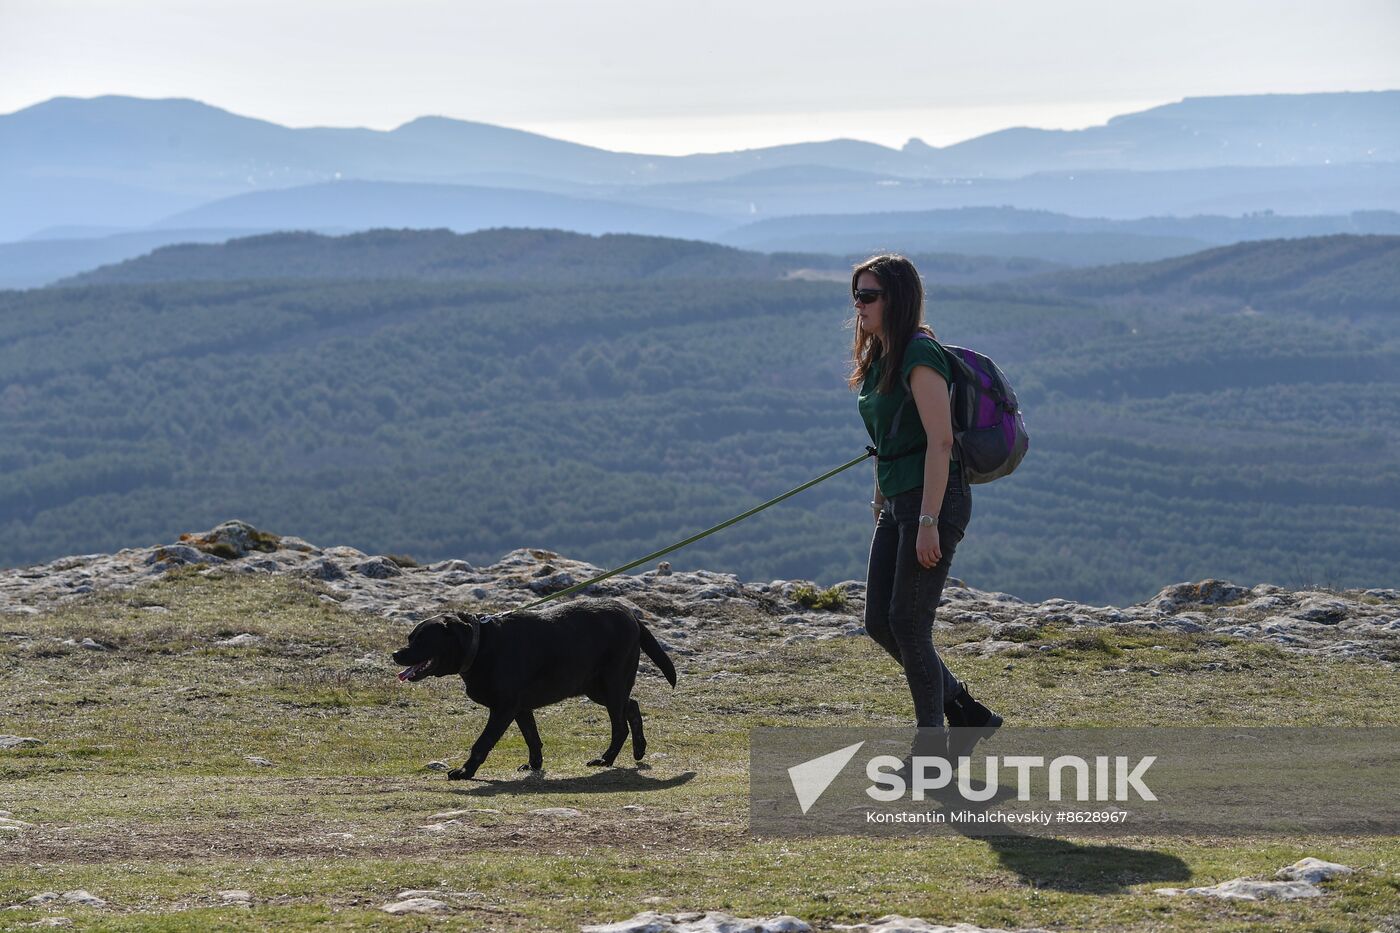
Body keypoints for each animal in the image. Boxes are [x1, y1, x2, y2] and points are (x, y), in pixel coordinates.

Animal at [394, 596, 677, 778]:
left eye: (422, 639)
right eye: (410, 637)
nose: (396, 654)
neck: (480, 646)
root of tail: (631, 616)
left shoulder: (503, 708)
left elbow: (482, 743)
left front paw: (465, 771)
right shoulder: (520, 708)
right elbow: (532, 737)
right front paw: (534, 765)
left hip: (611, 684)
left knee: (620, 726)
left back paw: (605, 759)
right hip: (597, 688)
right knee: (633, 706)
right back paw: (639, 749)